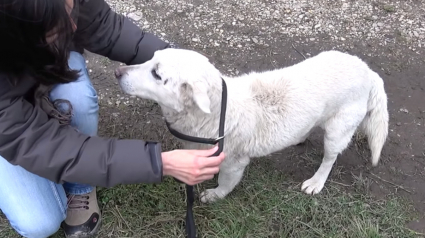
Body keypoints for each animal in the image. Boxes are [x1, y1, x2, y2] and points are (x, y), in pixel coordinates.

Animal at [112, 48, 388, 203]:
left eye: (156, 74)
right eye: (150, 59)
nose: (118, 72)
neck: (215, 114)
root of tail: (368, 71)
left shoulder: (234, 164)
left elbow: (225, 183)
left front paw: (215, 195)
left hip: (337, 132)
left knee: (329, 159)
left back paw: (316, 182)